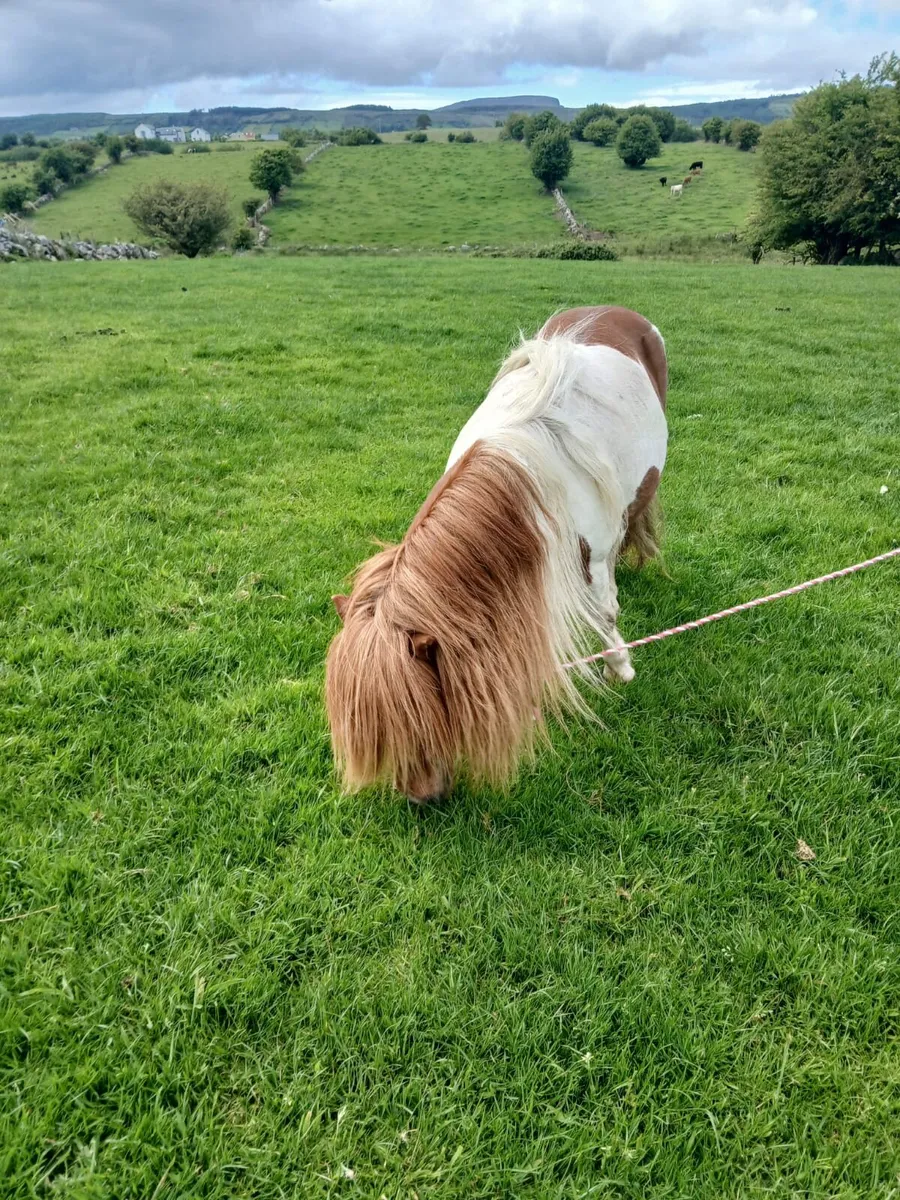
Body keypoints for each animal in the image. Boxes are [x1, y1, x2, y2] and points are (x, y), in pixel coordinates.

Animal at [325, 306, 669, 804]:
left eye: (422, 717)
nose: (421, 799)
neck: (526, 476)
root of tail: (616, 312)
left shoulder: (591, 560)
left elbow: (605, 615)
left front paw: (619, 671)